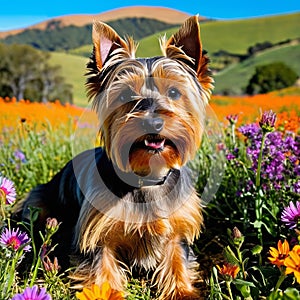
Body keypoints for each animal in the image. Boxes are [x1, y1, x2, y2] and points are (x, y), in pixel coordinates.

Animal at [15, 15, 213, 300]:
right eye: (126, 95)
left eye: (174, 93)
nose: (153, 121)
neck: (147, 177)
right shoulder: (96, 233)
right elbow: (102, 267)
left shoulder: (178, 227)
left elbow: (177, 258)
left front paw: (182, 291)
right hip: (38, 204)